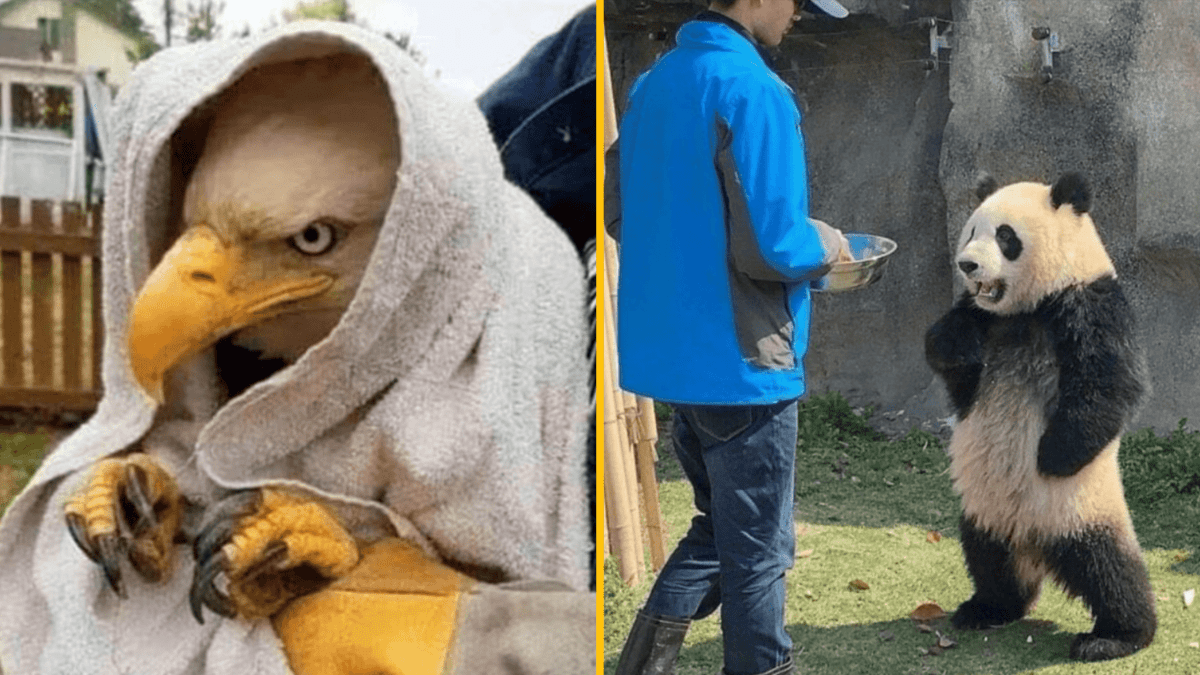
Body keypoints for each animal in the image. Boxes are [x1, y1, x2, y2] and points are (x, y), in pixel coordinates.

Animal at [924, 172, 1156, 661]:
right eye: (971, 232)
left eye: (1005, 237)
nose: (967, 266)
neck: (1027, 308)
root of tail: (1034, 541)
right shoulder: (984, 318)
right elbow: (954, 365)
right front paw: (960, 344)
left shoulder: (1088, 300)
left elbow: (1111, 383)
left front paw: (1053, 455)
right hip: (984, 507)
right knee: (988, 556)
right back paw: (990, 608)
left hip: (1080, 508)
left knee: (1108, 568)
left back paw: (1116, 636)